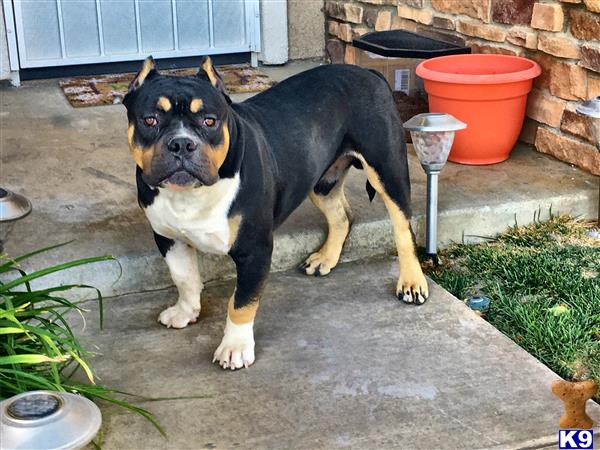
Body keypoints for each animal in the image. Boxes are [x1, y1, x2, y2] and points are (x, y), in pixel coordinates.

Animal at [124, 56, 428, 370]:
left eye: (209, 121)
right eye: (150, 120)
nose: (182, 143)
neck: (191, 194)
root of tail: (368, 73)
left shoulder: (254, 250)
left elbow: (241, 302)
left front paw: (234, 347)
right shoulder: (168, 238)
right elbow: (183, 278)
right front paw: (185, 312)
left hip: (387, 169)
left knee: (402, 227)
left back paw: (412, 282)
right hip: (320, 181)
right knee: (341, 216)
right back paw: (325, 258)